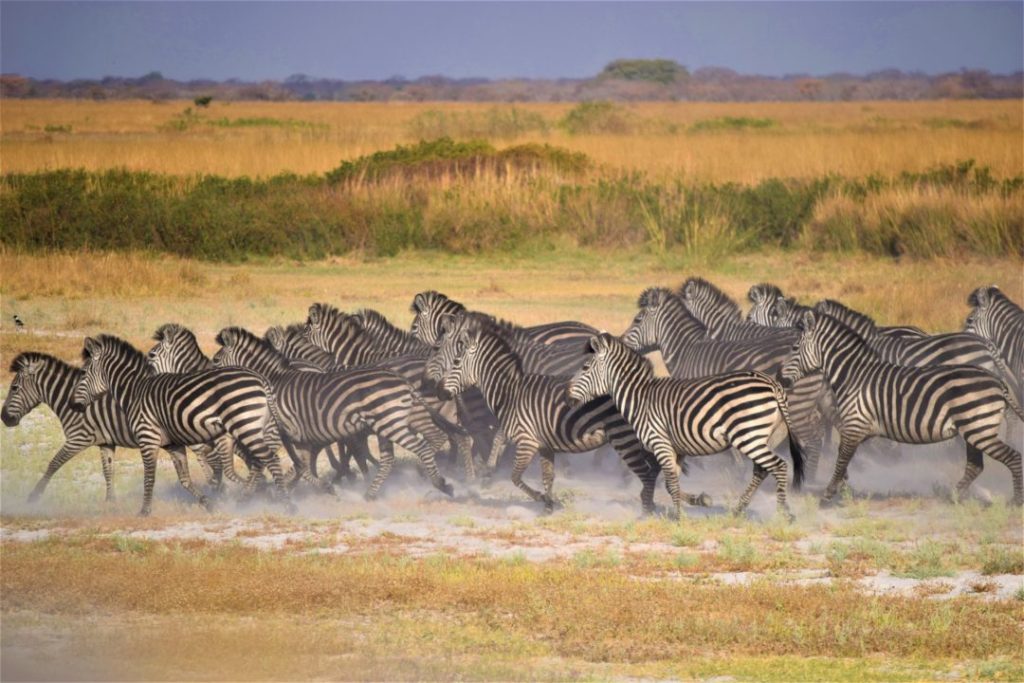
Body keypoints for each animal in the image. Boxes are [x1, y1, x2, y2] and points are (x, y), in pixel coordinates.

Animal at [72, 333, 290, 516]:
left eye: (83, 372)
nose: (74, 405)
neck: (134, 392)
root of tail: (260, 378)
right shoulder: (173, 444)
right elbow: (184, 479)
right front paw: (208, 503)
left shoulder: (147, 438)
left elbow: (149, 477)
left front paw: (144, 511)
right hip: (252, 427)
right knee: (260, 461)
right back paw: (253, 496)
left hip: (245, 425)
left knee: (270, 458)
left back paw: (284, 502)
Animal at [209, 327, 454, 499]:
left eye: (216, 360)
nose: (209, 382)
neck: (274, 382)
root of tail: (403, 381)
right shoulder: (302, 437)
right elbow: (302, 466)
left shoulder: (278, 431)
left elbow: (275, 463)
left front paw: (252, 494)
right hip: (395, 421)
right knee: (401, 453)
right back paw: (372, 493)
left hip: (391, 423)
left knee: (423, 446)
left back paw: (441, 484)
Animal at [423, 313, 704, 511]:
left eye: (439, 349)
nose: (432, 388)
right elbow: (537, 467)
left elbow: (505, 449)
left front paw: (491, 474)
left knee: (651, 466)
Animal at [565, 333, 802, 520]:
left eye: (585, 368)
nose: (567, 395)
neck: (640, 398)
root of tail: (772, 384)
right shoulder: (676, 448)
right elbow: (672, 484)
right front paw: (698, 501)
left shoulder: (660, 442)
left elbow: (670, 482)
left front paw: (679, 517)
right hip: (766, 437)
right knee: (762, 470)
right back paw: (738, 510)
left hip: (748, 435)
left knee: (779, 466)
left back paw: (784, 513)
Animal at [778, 313, 1019, 505]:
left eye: (794, 348)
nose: (779, 378)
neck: (854, 375)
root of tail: (997, 381)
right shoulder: (860, 429)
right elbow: (846, 461)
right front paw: (843, 488)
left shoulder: (854, 426)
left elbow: (841, 460)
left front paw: (828, 495)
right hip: (973, 430)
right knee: (975, 466)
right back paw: (953, 496)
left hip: (979, 429)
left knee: (1013, 457)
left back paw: (1016, 501)